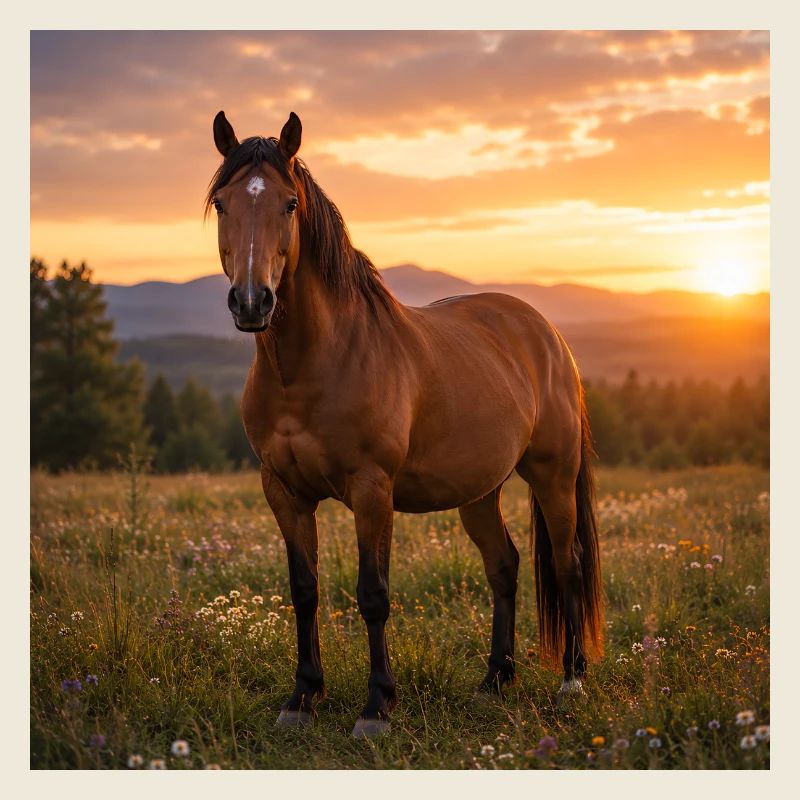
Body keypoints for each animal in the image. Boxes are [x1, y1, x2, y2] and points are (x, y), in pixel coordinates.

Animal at [206, 110, 604, 738]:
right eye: (223, 204)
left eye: (289, 204)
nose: (252, 302)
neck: (312, 364)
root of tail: (546, 334)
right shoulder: (283, 491)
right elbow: (304, 590)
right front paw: (301, 698)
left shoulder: (373, 490)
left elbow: (373, 594)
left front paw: (376, 707)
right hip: (480, 491)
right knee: (504, 565)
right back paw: (495, 681)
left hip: (553, 476)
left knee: (567, 565)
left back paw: (570, 681)